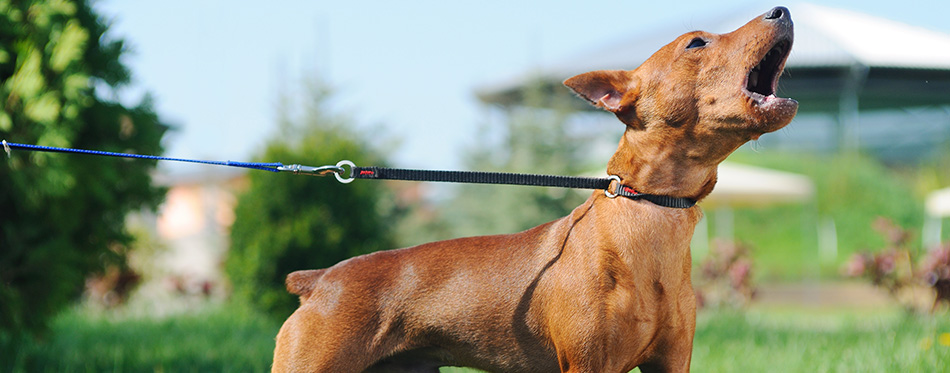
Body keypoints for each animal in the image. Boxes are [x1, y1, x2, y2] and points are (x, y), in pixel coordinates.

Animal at [274, 6, 796, 372]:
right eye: (696, 42)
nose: (783, 10)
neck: (650, 208)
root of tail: (319, 279)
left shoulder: (671, 362)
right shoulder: (588, 365)